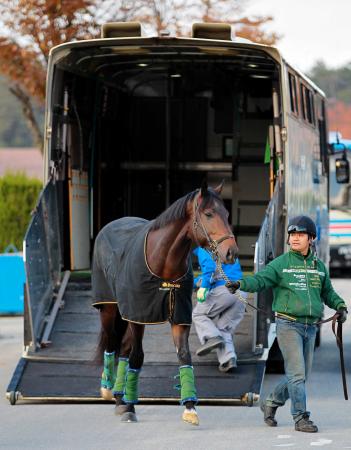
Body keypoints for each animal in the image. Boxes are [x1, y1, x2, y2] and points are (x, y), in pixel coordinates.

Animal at [91, 181, 239, 424]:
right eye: (209, 214)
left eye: (227, 214)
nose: (231, 252)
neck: (162, 261)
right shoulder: (138, 316)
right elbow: (137, 356)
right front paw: (131, 407)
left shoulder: (179, 317)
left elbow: (183, 355)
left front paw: (190, 407)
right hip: (110, 309)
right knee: (112, 342)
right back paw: (108, 389)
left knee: (123, 348)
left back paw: (120, 397)